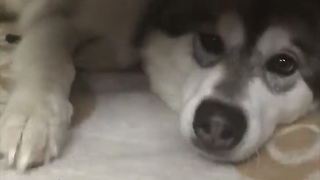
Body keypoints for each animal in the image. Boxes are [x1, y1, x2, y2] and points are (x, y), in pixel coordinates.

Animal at [0, 0, 320, 172]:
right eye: (210, 40)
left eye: (284, 63)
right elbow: (48, 52)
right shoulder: (62, 17)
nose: (218, 124)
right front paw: (33, 117)